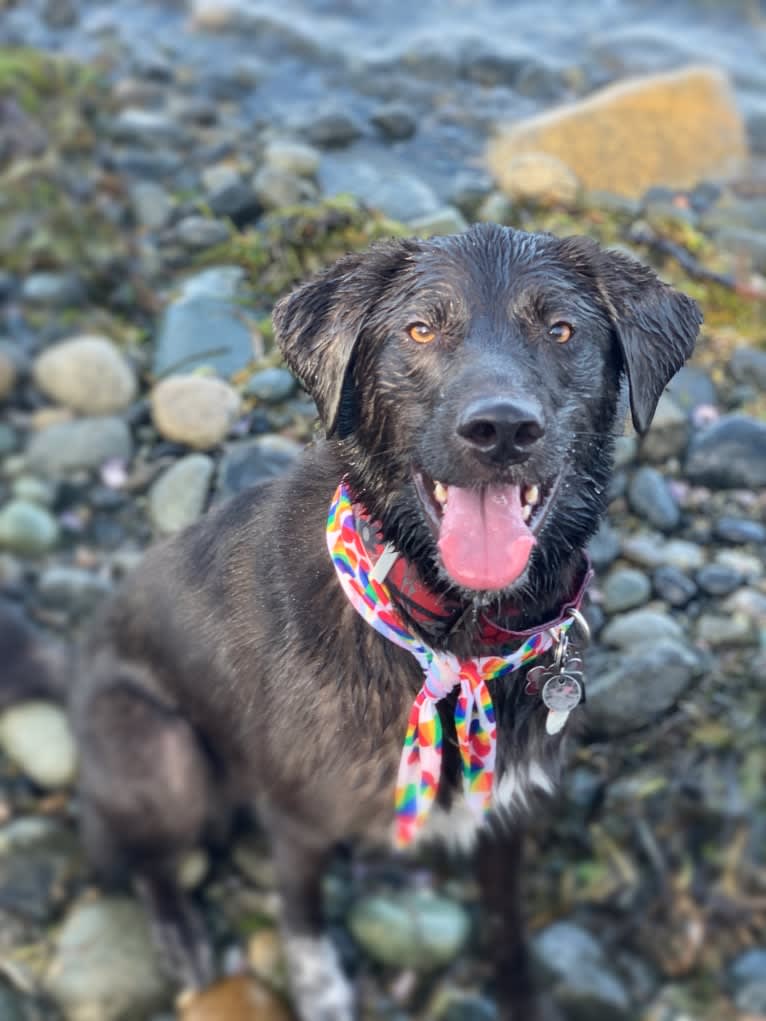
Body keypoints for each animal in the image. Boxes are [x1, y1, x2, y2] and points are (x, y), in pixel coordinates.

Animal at [0, 225, 702, 1021]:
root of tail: (77, 660)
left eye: (561, 329)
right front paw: (324, 990)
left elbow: (506, 925)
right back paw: (177, 929)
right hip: (162, 750)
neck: (449, 638)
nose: (501, 428)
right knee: (132, 853)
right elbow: (304, 925)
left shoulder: (505, 815)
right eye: (420, 329)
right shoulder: (297, 818)